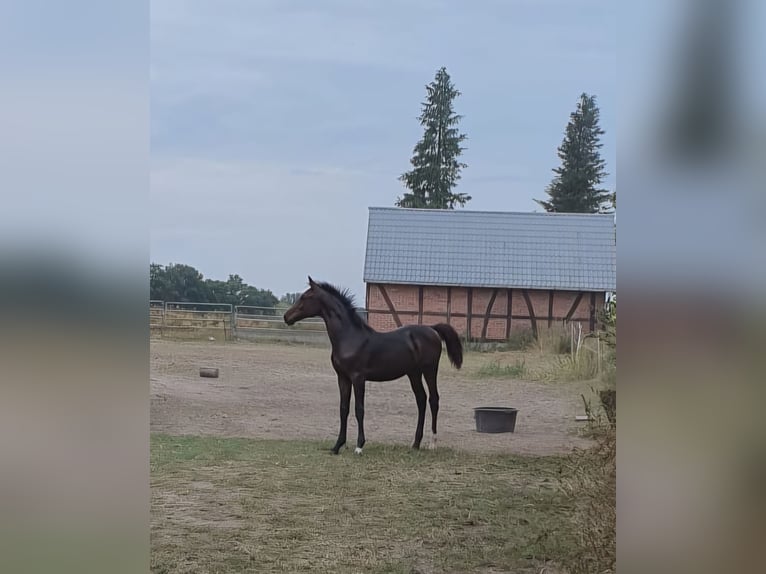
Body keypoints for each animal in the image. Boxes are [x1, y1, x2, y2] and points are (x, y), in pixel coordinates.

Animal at [282, 276, 462, 456]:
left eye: (305, 297)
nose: (286, 316)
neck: (349, 337)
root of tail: (432, 329)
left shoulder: (358, 378)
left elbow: (359, 409)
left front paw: (359, 446)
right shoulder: (343, 377)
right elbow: (343, 409)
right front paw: (337, 446)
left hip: (430, 370)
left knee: (433, 399)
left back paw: (432, 443)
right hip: (414, 373)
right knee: (421, 400)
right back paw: (415, 443)